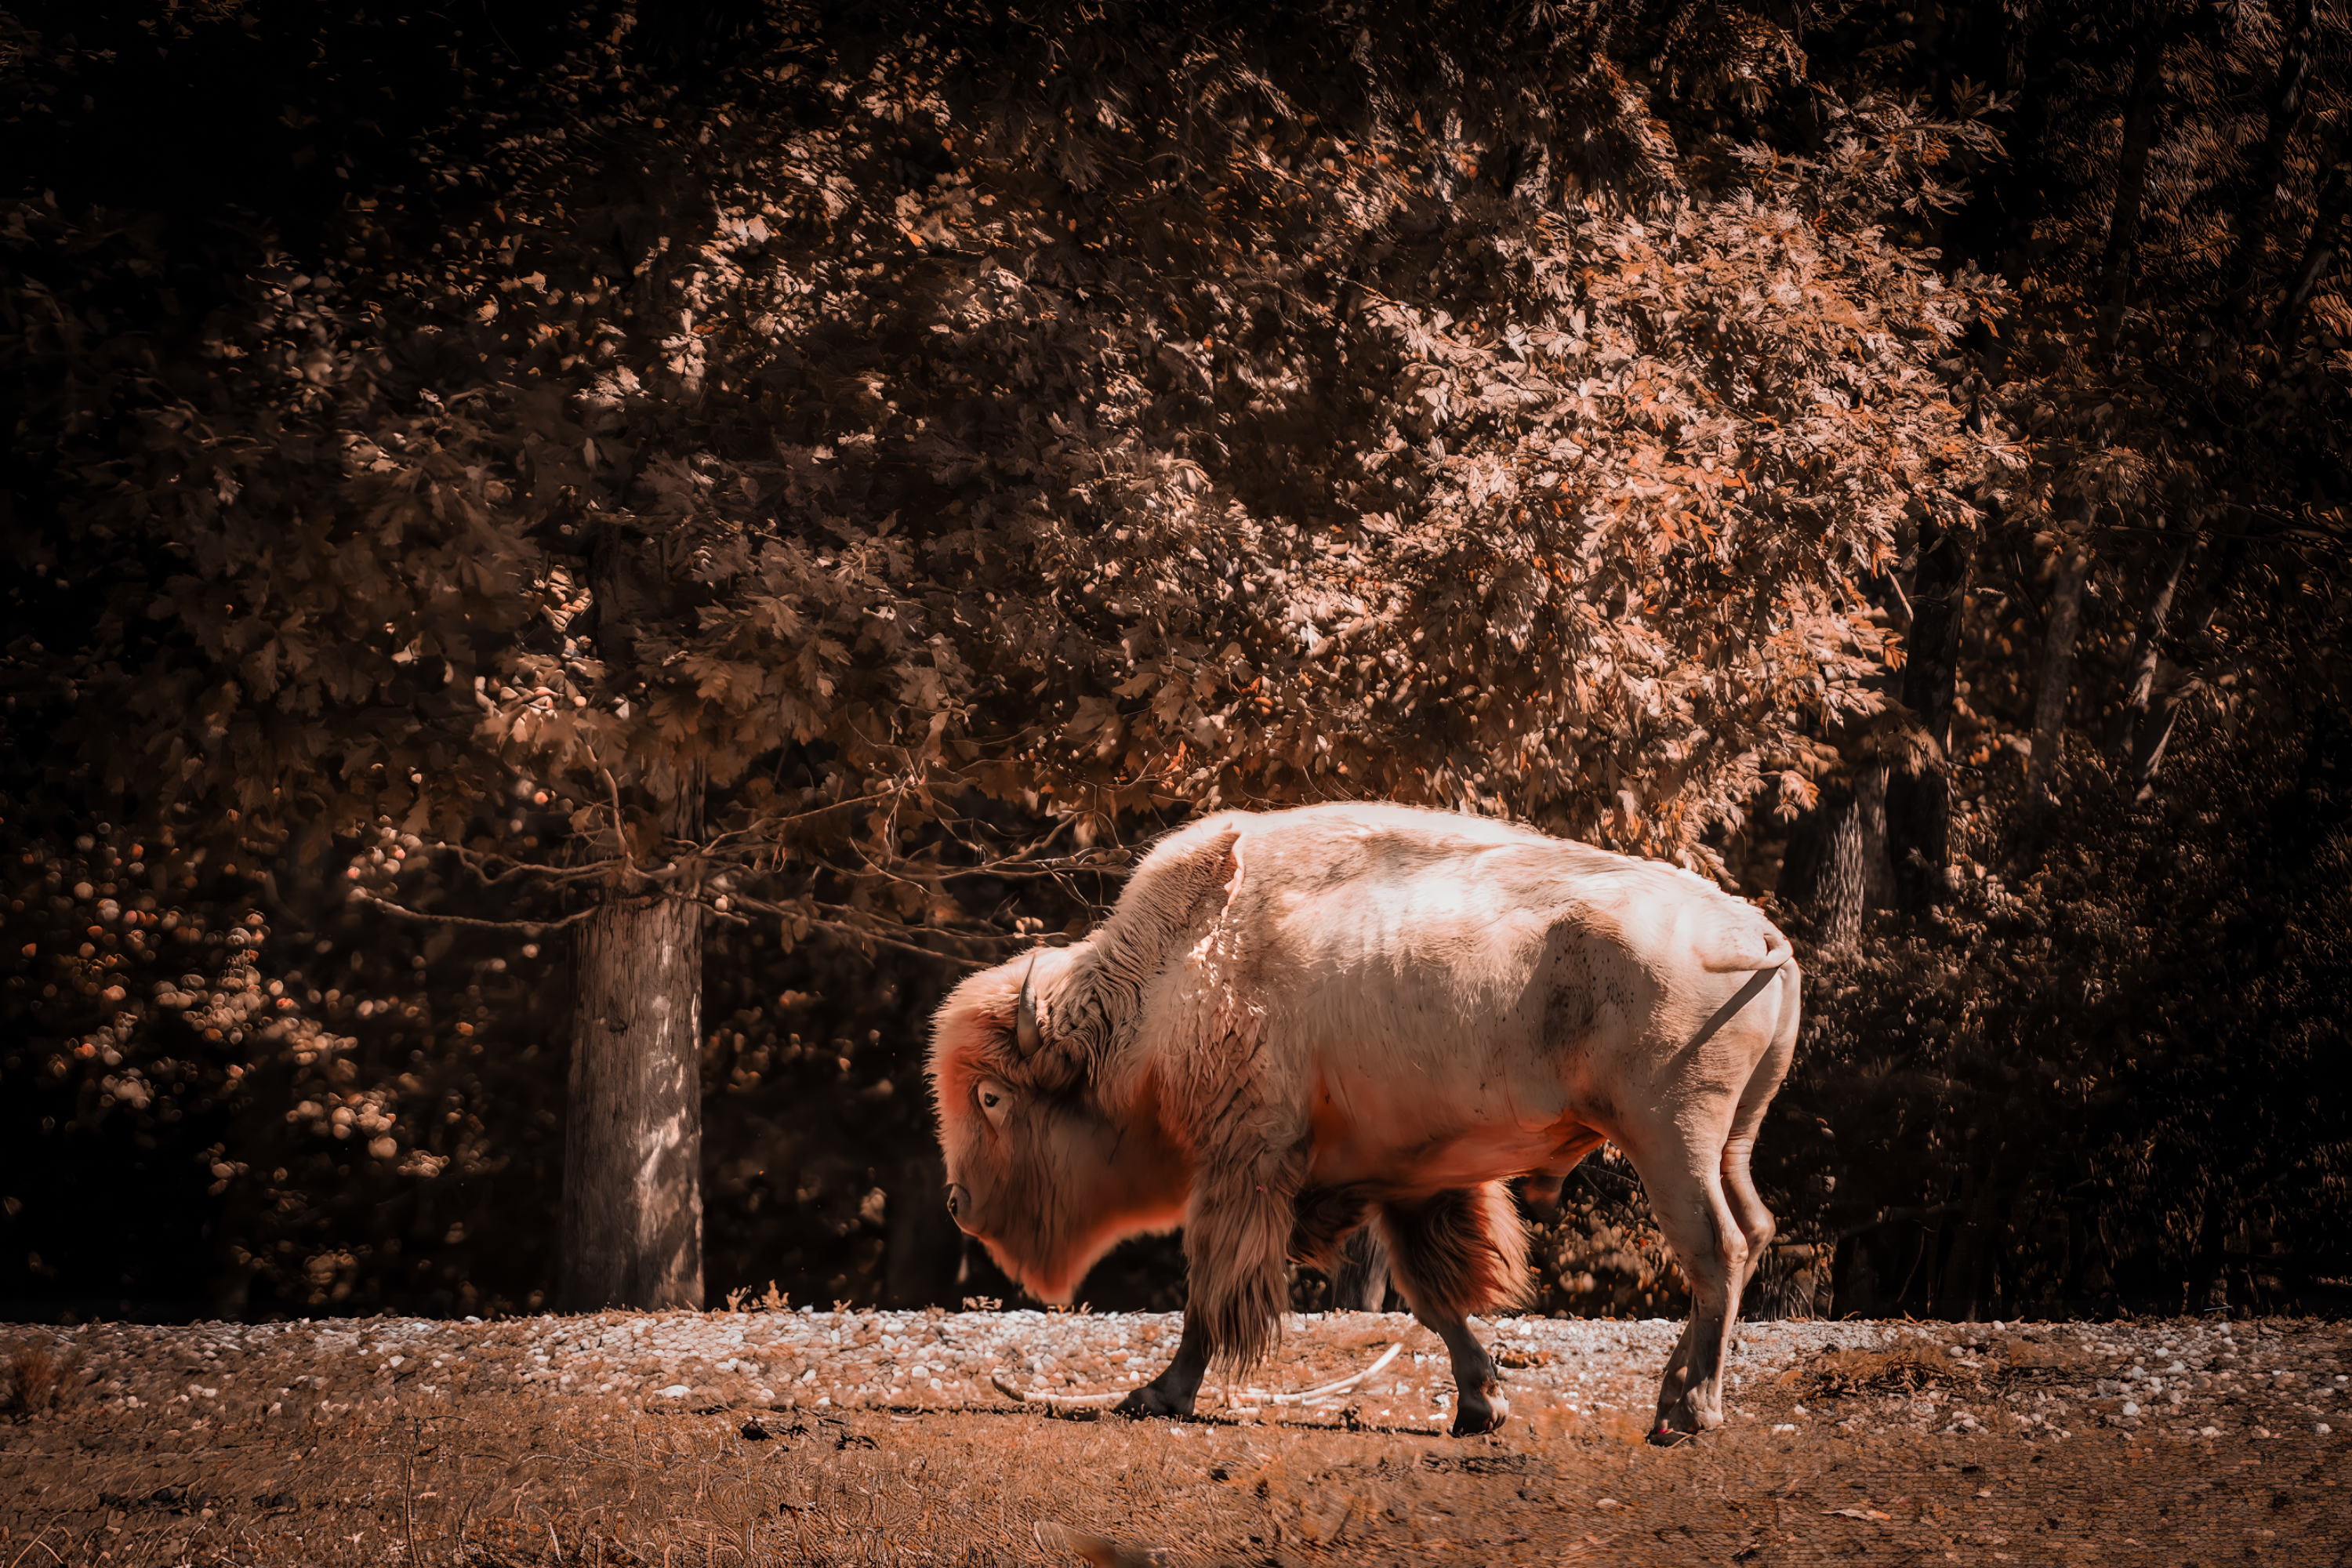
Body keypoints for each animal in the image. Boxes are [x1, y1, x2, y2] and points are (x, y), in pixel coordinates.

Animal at [929, 801, 1800, 1442]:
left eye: (992, 1098)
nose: (958, 1205)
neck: (1181, 968)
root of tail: (1758, 933)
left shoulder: (1244, 1162)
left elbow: (1210, 1290)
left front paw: (1158, 1394)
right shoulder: (1407, 1180)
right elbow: (1433, 1295)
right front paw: (1481, 1405)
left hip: (1669, 1136)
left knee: (1714, 1247)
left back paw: (1689, 1413)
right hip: (1731, 1139)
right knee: (1753, 1230)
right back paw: (1672, 1398)